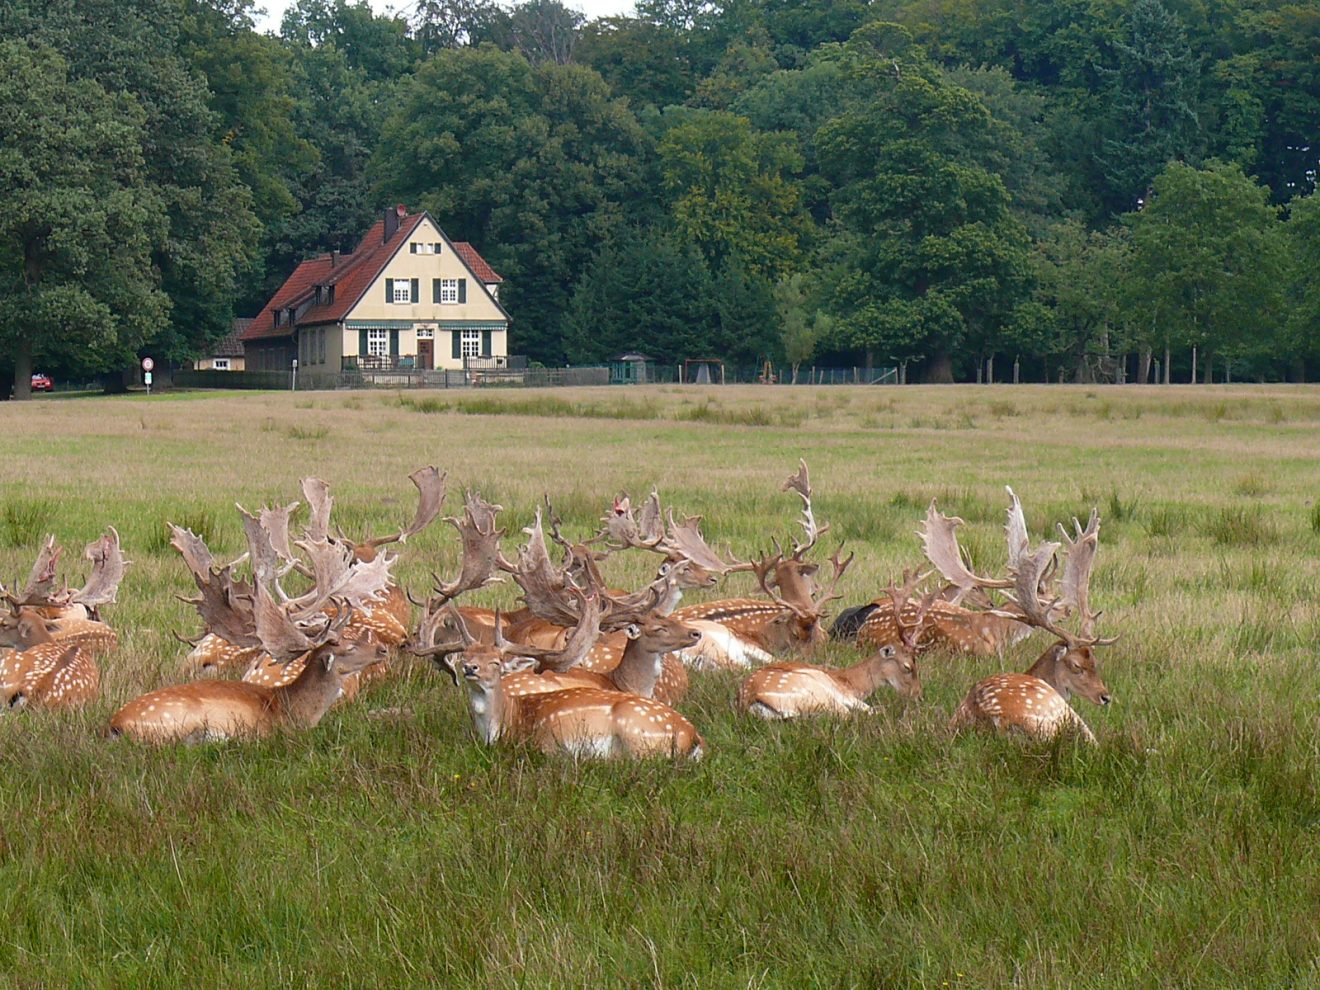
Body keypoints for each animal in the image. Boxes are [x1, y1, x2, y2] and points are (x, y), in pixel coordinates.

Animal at [111, 522, 390, 739]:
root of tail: (115, 725)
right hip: (181, 718)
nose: (383, 649)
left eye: (352, 635)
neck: (292, 709)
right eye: (348, 646)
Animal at [739, 572, 934, 723]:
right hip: (817, 693)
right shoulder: (843, 693)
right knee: (848, 714)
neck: (852, 681)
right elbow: (873, 709)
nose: (919, 696)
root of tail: (751, 700)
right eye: (907, 667)